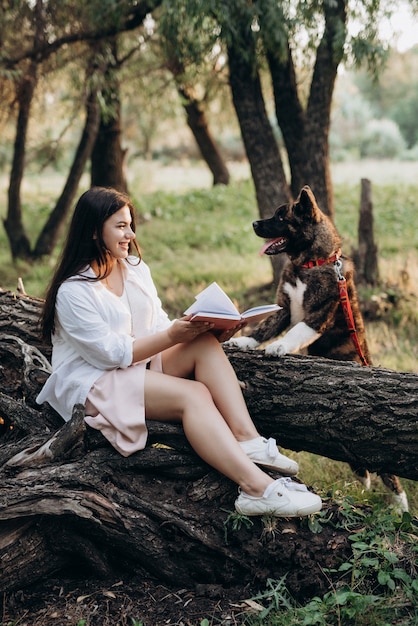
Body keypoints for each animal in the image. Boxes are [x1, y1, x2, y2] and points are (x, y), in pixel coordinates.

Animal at [229, 185, 408, 512]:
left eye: (281, 217)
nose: (254, 223)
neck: (308, 264)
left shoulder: (316, 317)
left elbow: (292, 333)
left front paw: (279, 347)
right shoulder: (283, 308)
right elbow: (264, 328)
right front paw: (245, 341)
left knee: (388, 472)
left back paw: (401, 507)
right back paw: (362, 477)